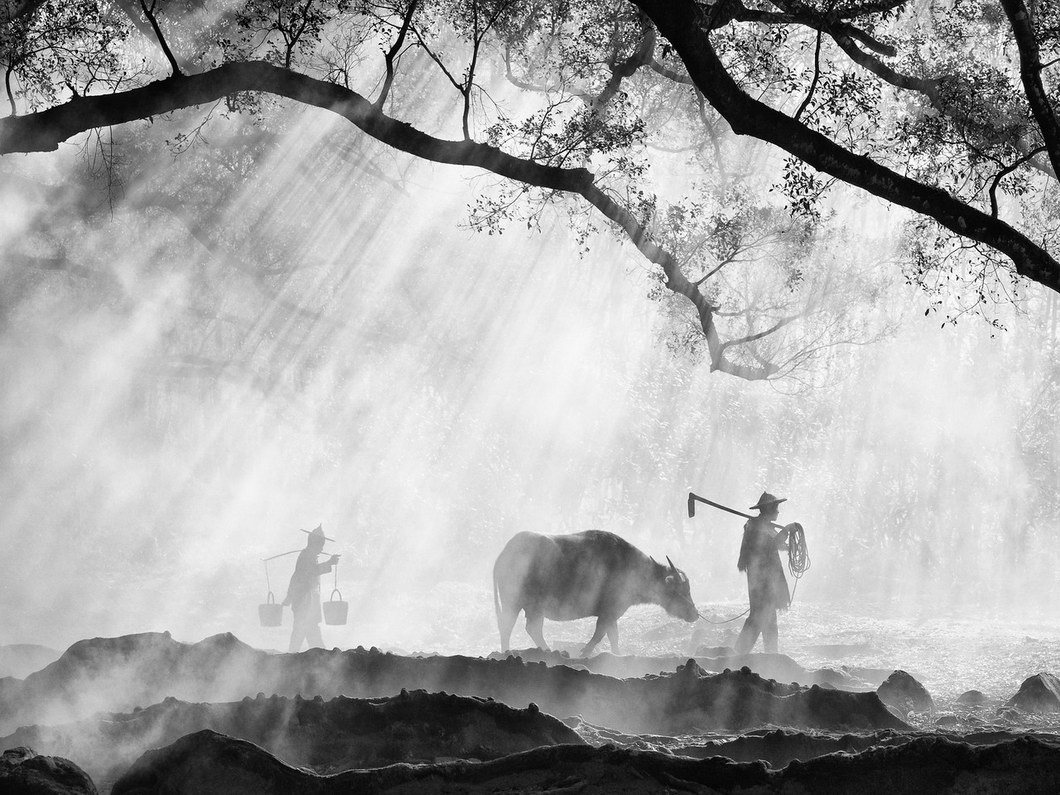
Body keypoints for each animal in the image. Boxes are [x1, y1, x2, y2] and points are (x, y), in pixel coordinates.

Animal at [491, 532, 699, 657]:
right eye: (682, 590)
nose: (695, 614)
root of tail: (502, 555)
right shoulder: (608, 612)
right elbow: (600, 634)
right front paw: (584, 651)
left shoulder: (612, 614)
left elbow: (613, 636)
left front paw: (616, 654)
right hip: (516, 604)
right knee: (512, 627)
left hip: (531, 608)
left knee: (529, 628)